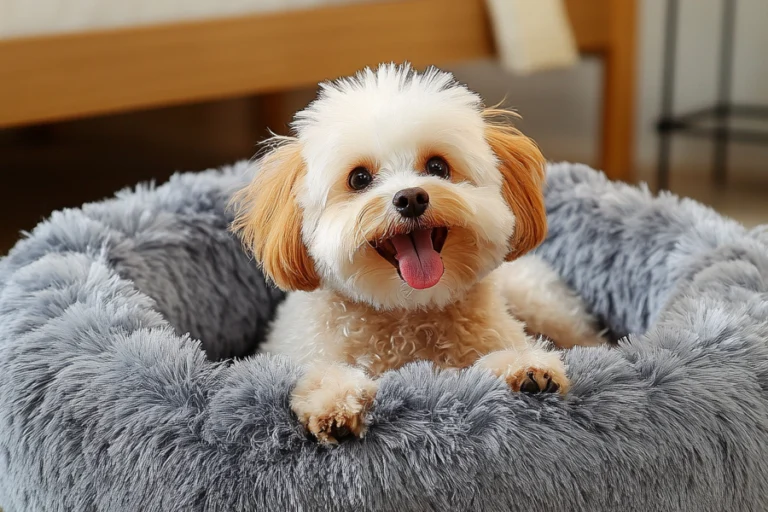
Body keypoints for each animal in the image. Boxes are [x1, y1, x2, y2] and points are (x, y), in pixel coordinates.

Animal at [231, 64, 604, 444]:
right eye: (359, 178)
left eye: (438, 167)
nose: (410, 198)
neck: (409, 312)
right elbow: (325, 373)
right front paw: (334, 401)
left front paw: (525, 366)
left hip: (541, 304)